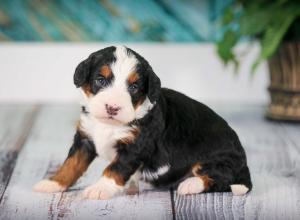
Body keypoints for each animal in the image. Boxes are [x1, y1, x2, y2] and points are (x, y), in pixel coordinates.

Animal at [34, 45, 252, 199]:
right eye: (101, 80)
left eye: (134, 87)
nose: (112, 107)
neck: (110, 124)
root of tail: (243, 161)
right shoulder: (85, 138)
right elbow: (71, 164)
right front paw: (53, 183)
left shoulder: (135, 146)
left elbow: (114, 168)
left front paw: (100, 188)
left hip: (216, 160)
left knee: (222, 180)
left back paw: (191, 184)